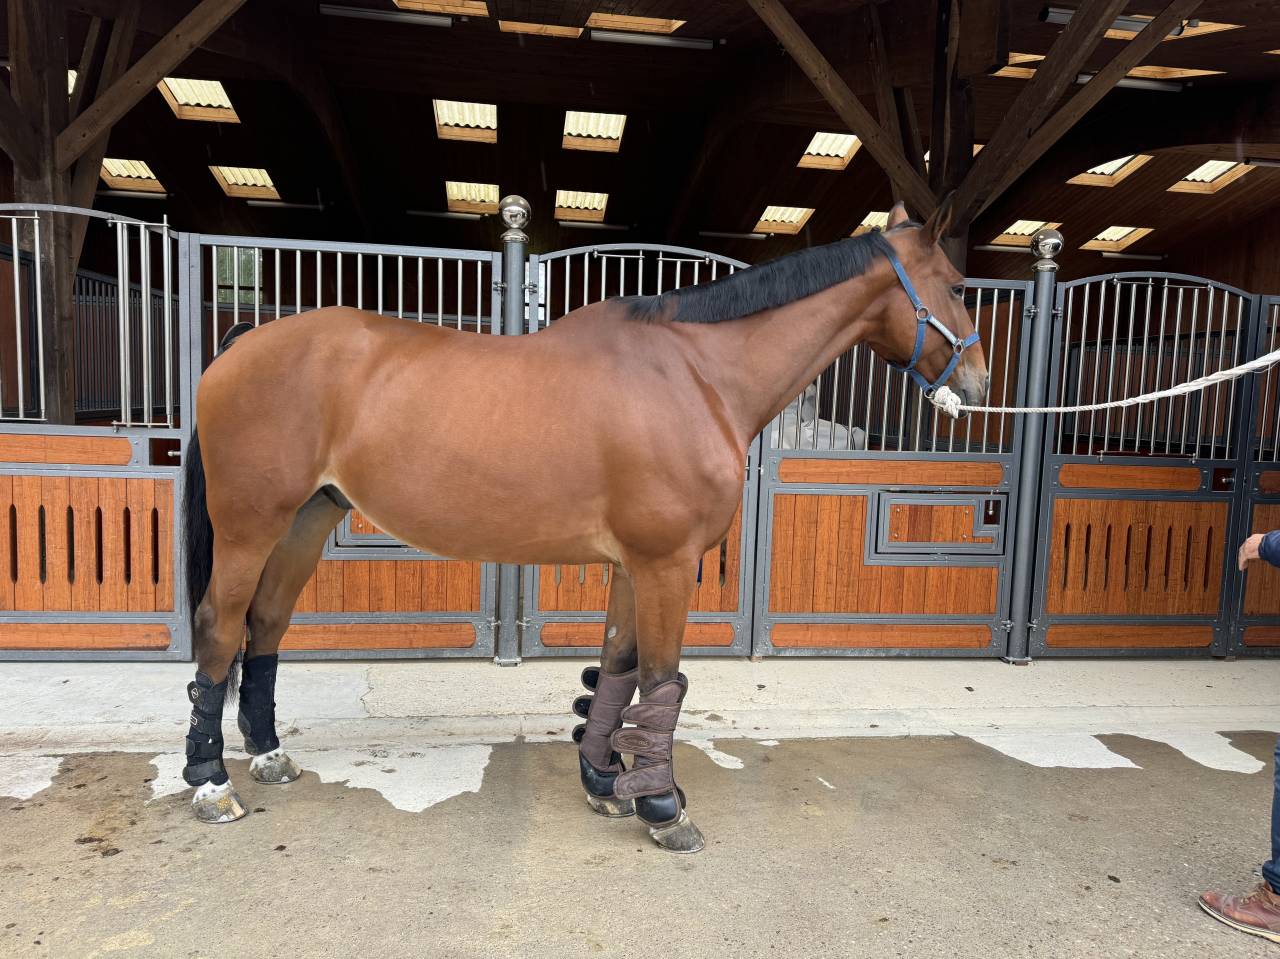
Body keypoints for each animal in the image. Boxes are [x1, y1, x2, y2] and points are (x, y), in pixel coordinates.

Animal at [179, 199, 988, 853]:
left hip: (305, 521)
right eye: (954, 284)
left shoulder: (633, 564)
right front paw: (663, 808)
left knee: (266, 624)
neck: (695, 373)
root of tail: (241, 343)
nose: (980, 384)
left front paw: (605, 780)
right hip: (251, 527)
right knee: (220, 625)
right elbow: (661, 679)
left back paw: (268, 753)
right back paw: (212, 780)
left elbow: (618, 670)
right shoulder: (666, 562)